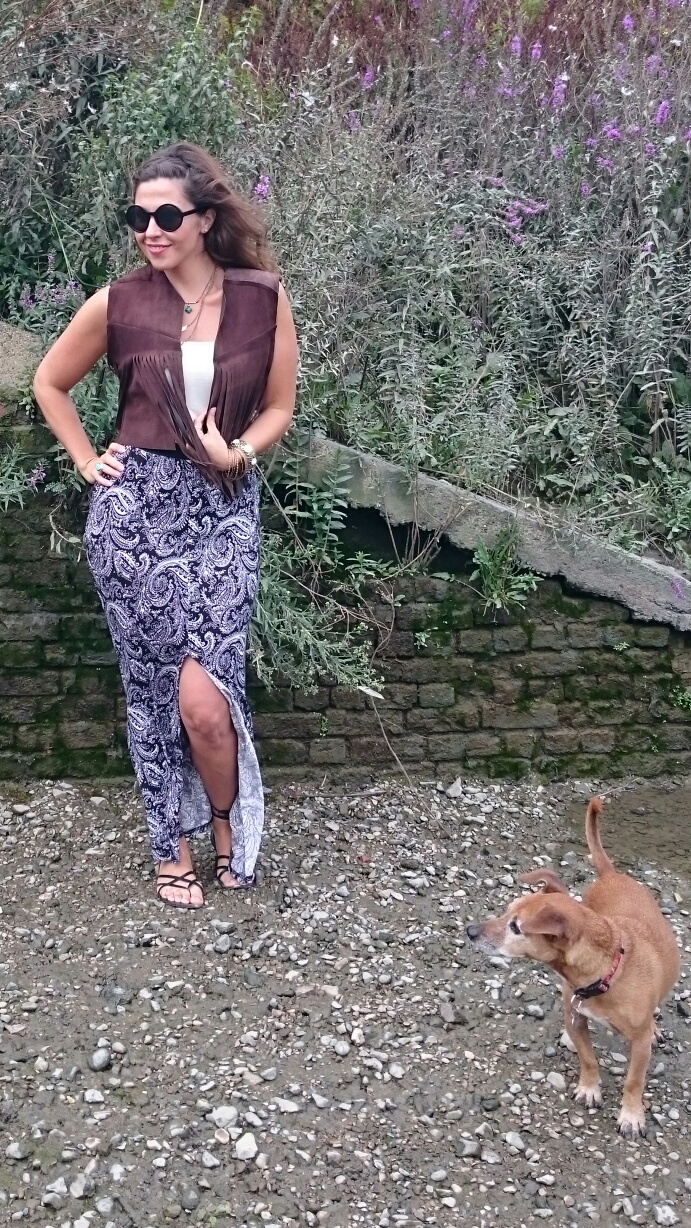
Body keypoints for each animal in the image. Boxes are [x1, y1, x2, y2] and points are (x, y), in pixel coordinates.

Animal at [466, 797, 680, 1137]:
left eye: (515, 927)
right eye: (506, 912)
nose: (470, 931)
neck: (605, 974)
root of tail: (611, 874)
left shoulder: (638, 1045)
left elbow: (634, 1081)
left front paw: (631, 1115)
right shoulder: (577, 1017)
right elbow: (588, 1059)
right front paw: (590, 1088)